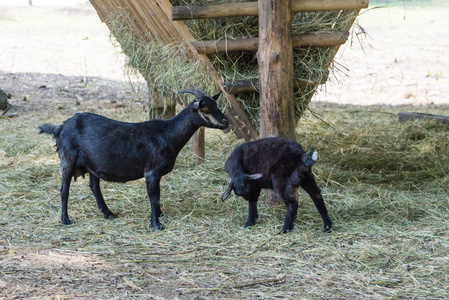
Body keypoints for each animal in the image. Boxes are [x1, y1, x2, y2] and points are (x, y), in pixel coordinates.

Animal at [38, 86, 228, 230]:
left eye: (215, 104)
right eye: (205, 108)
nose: (225, 121)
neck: (167, 133)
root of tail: (60, 127)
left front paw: (159, 215)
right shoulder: (151, 171)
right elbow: (154, 196)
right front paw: (156, 223)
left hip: (92, 164)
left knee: (94, 186)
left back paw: (108, 213)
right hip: (67, 160)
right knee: (64, 189)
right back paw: (65, 219)